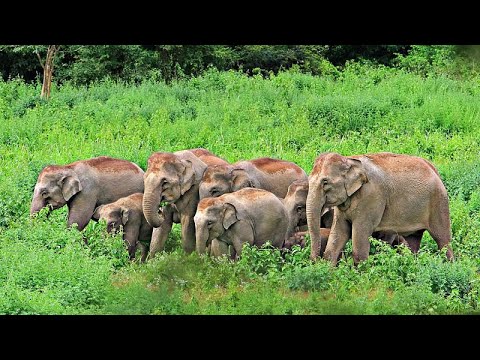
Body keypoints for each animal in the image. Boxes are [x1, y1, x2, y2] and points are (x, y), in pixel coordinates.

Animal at [308, 152, 454, 264]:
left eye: (325, 182)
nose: (314, 261)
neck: (349, 159)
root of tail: (434, 169)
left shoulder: (370, 197)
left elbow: (360, 235)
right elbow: (339, 232)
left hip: (439, 201)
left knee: (442, 239)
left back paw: (449, 265)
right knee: (413, 240)